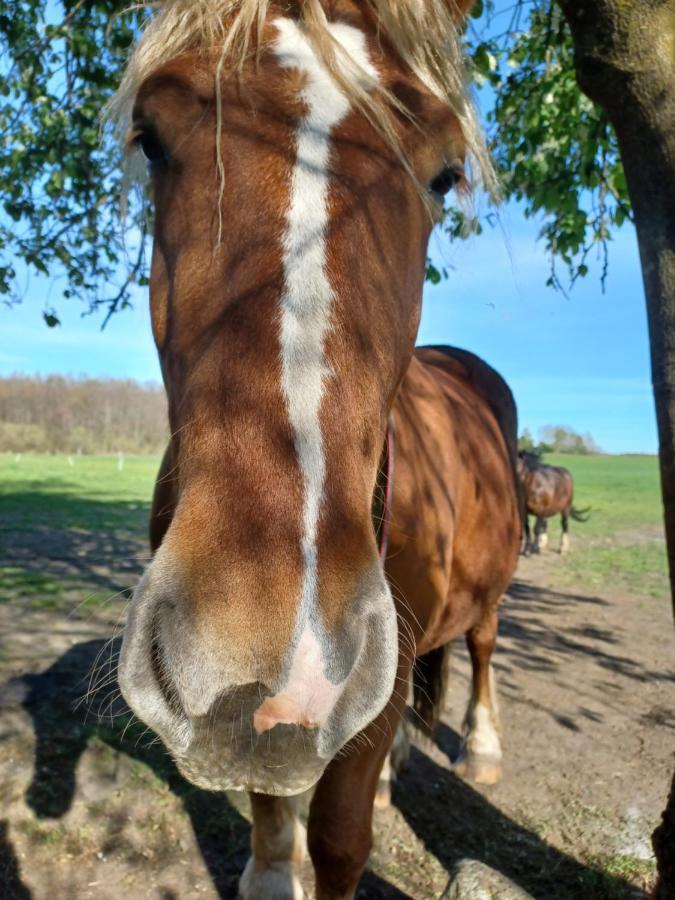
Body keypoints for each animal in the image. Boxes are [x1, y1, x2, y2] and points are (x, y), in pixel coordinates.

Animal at [108, 3, 524, 896]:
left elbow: (337, 840)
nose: (264, 654)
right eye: (150, 137)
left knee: (478, 645)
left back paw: (479, 747)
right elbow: (273, 818)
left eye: (444, 174)